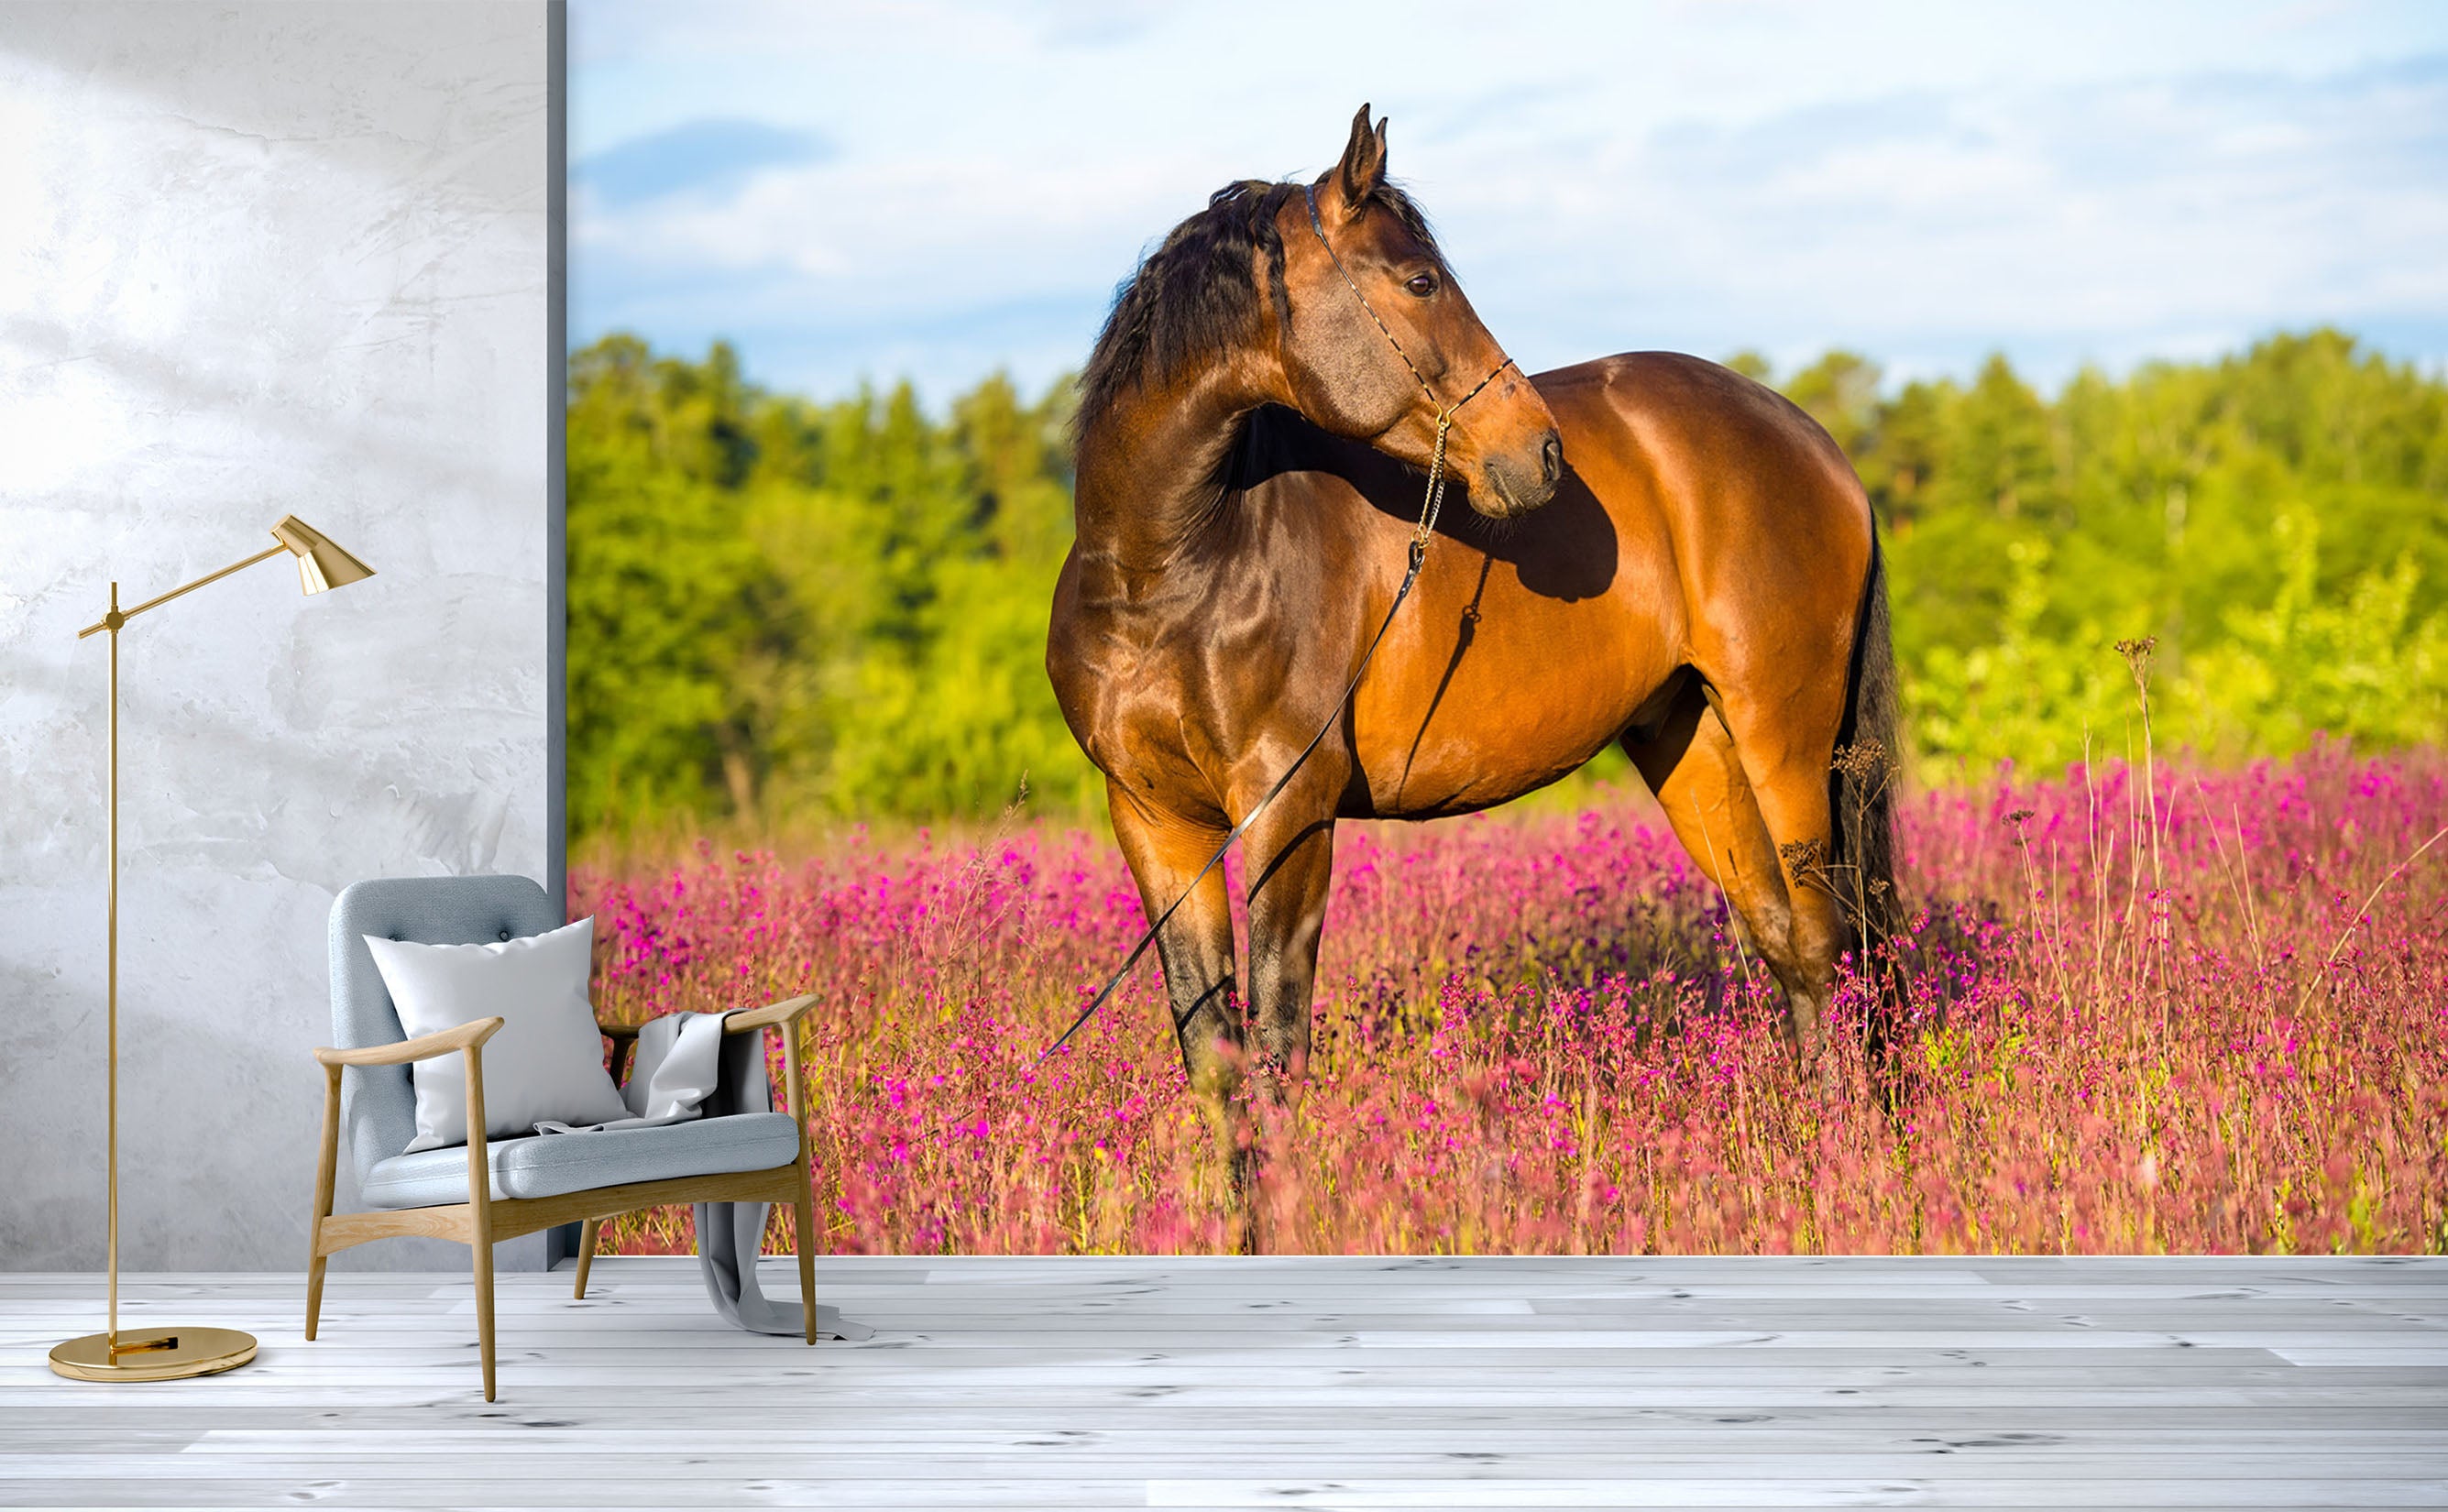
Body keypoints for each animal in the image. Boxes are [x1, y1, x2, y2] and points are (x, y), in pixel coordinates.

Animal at [1047, 105, 1901, 1152]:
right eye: (1420, 279)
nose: (1540, 453)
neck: (1167, 568)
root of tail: (1813, 441)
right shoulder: (1157, 824)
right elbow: (1216, 1058)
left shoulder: (1290, 813)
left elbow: (1279, 1050)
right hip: (1690, 743)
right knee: (1786, 945)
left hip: (1784, 737)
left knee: (1827, 943)